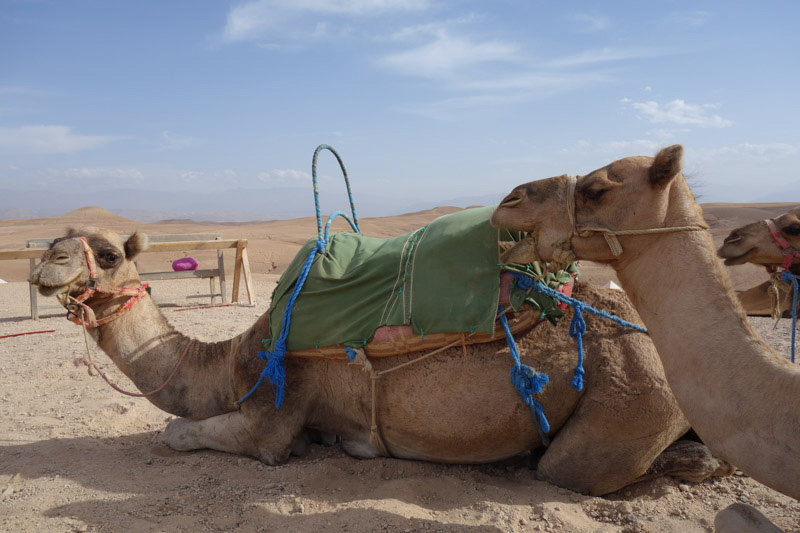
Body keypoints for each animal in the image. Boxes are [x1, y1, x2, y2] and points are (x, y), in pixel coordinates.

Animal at [26, 224, 732, 494]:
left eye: (107, 254)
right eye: (59, 240)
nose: (44, 263)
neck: (227, 362)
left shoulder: (274, 413)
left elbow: (177, 432)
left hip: (627, 398)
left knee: (569, 467)